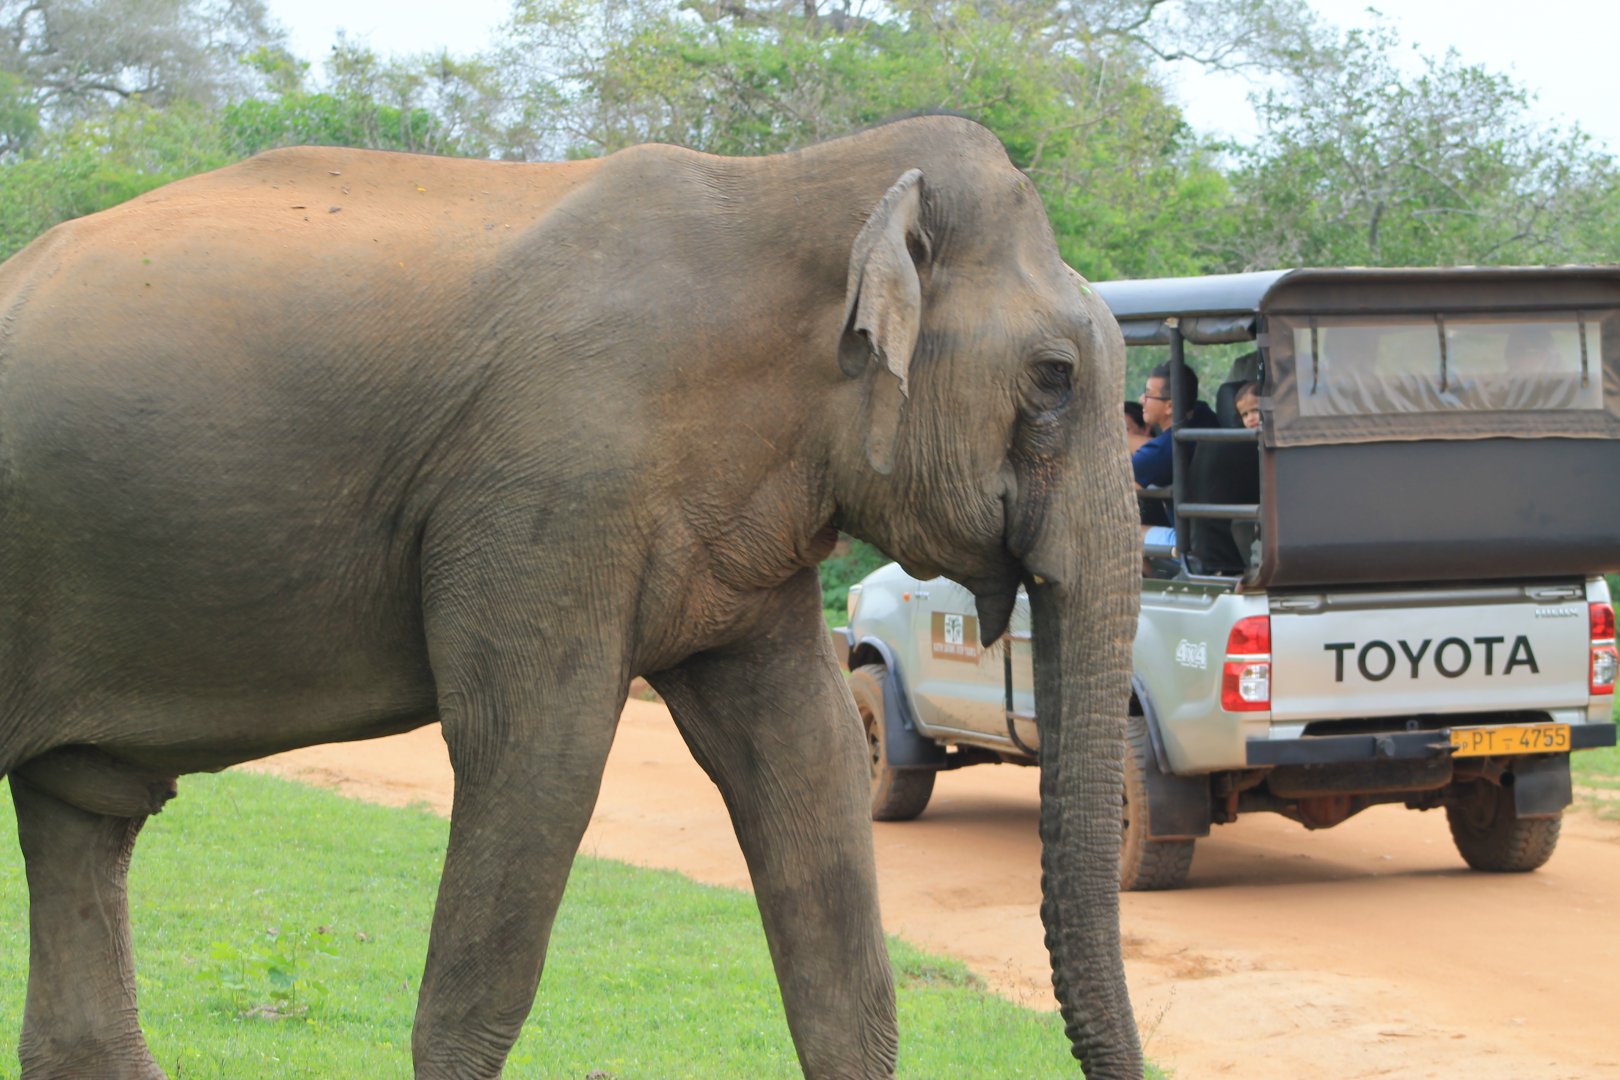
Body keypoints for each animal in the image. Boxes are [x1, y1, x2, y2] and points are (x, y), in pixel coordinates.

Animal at [0, 115, 1142, 1078]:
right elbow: (534, 748)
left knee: (83, 811)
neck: (788, 186)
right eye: (1054, 377)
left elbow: (804, 749)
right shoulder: (554, 478)